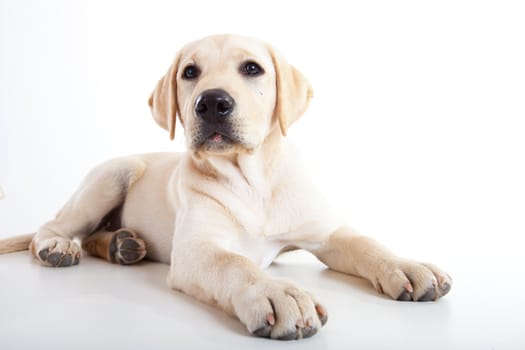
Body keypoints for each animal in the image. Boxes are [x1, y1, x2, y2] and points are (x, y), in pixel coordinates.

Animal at [0, 34, 450, 340]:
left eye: (252, 68)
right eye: (189, 72)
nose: (212, 103)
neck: (253, 180)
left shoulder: (326, 231)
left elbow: (366, 243)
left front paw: (408, 266)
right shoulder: (197, 248)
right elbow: (234, 262)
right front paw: (276, 292)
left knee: (95, 234)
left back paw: (122, 244)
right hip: (112, 176)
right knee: (53, 226)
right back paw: (60, 246)